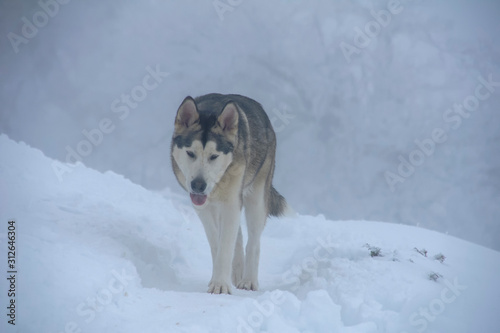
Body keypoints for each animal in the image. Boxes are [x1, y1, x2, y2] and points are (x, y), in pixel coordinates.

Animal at [171, 93, 292, 294]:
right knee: (238, 236)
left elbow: (226, 245)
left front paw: (220, 285)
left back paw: (249, 280)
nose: (198, 185)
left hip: (256, 197)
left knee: (253, 242)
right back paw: (236, 271)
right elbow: (217, 242)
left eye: (214, 156)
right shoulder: (205, 208)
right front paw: (220, 277)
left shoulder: (231, 203)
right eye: (190, 153)